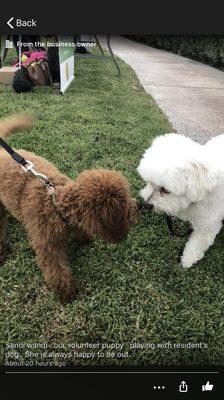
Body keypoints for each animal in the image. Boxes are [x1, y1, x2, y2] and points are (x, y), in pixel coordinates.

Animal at [137, 134, 224, 268]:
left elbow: (198, 242)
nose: (146, 205)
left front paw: (188, 259)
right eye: (150, 183)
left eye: (165, 190)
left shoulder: (209, 222)